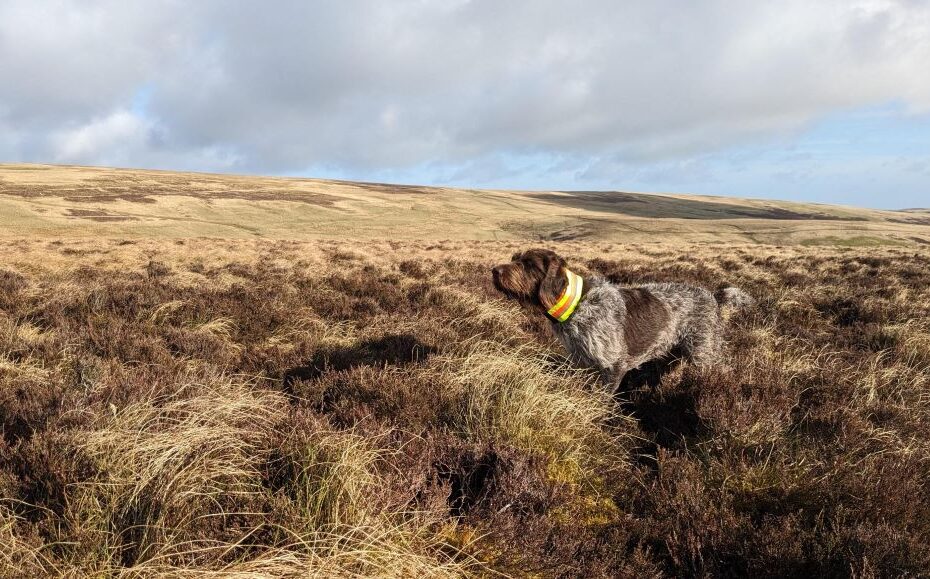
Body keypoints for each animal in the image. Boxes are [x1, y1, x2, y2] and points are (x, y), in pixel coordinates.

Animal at [490, 249, 752, 390]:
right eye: (515, 258)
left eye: (528, 264)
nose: (494, 270)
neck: (578, 304)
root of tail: (713, 296)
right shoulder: (581, 363)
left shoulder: (612, 367)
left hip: (704, 353)